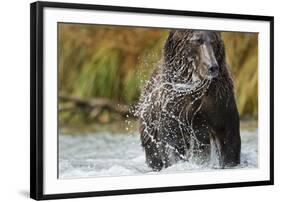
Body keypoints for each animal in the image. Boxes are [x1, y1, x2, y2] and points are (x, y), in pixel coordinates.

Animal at [137, 29, 240, 170]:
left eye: (213, 41)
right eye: (197, 40)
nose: (212, 67)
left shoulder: (219, 100)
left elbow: (228, 137)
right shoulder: (173, 106)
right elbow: (171, 140)